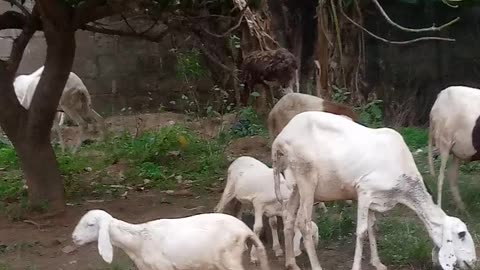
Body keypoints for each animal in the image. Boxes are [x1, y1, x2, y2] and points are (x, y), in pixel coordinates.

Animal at [73, 210, 272, 270]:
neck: (138, 241)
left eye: (90, 224)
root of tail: (245, 229)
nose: (74, 238)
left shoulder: (164, 266)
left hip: (230, 257)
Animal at [270, 110, 476, 270]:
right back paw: (316, 266)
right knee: (303, 223)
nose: (473, 262)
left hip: (294, 184)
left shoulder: (375, 198)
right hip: (307, 179)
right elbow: (361, 231)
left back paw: (291, 262)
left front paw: (377, 263)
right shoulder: (364, 191)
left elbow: (372, 226)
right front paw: (356, 266)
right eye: (461, 234)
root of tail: (280, 139)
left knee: (288, 216)